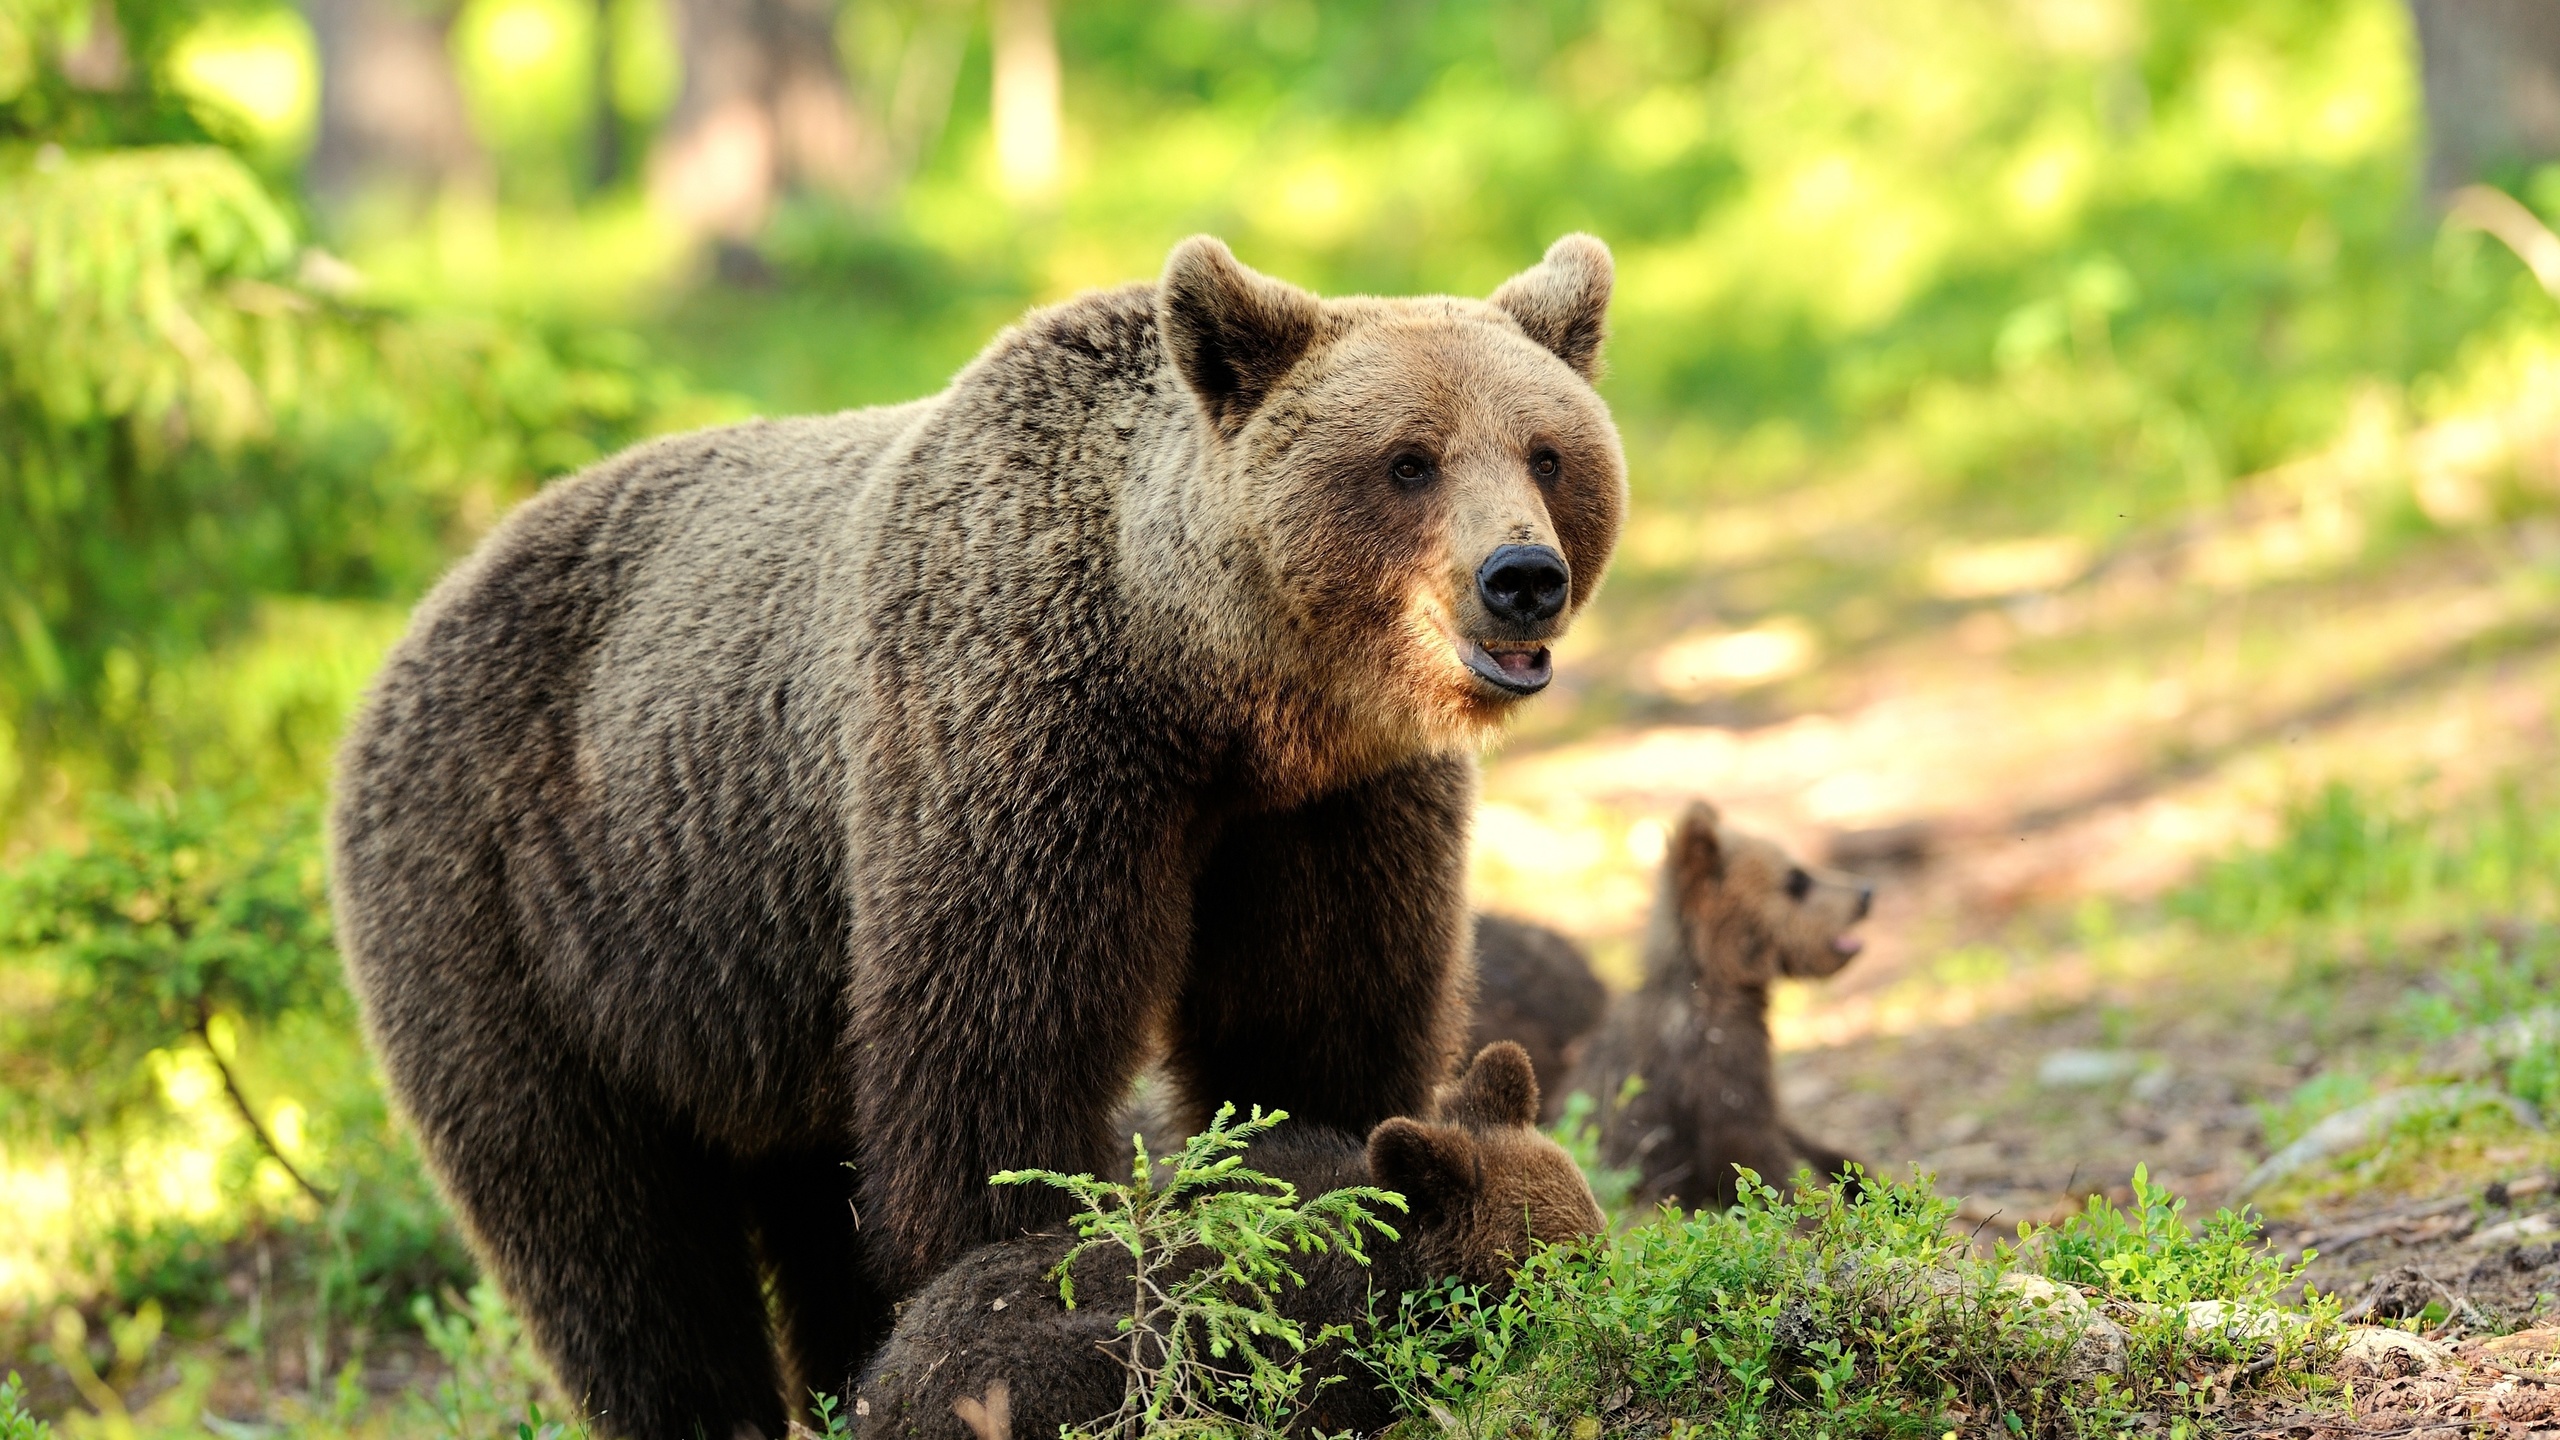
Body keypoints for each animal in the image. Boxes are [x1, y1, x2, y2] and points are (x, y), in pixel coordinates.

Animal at [330, 238, 1628, 1434]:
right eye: (1408, 459)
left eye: (1546, 451)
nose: (1521, 575)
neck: (1211, 695)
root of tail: (424, 612)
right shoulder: (1011, 751)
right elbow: (992, 1072)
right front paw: (1009, 1274)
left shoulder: (1327, 815)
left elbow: (1312, 1029)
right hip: (522, 905)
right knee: (608, 1237)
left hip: (755, 997)